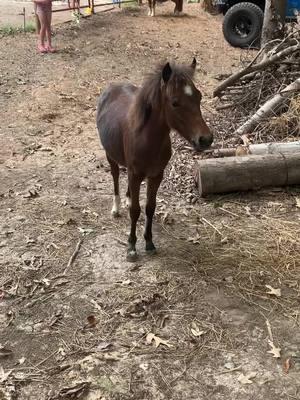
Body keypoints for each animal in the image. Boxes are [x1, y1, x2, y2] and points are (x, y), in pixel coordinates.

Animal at [97, 57, 212, 260]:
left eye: (199, 97)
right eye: (175, 103)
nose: (205, 139)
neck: (147, 139)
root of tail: (111, 88)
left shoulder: (156, 175)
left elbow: (150, 207)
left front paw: (149, 242)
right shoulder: (136, 174)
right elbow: (135, 210)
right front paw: (131, 246)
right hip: (110, 155)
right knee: (116, 176)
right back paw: (116, 208)